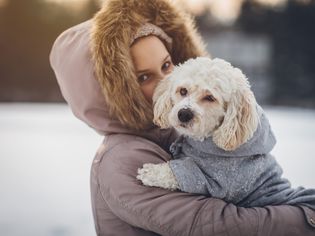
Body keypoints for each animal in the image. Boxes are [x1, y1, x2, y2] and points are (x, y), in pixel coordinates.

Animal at [137, 57, 315, 208]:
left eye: (210, 98)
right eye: (183, 91)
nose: (184, 114)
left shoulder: (218, 184)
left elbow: (180, 173)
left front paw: (151, 172)